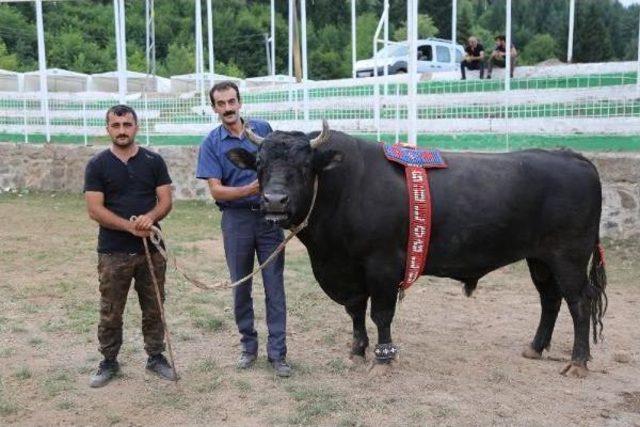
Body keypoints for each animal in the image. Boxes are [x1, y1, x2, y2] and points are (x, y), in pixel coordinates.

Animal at [228, 124, 608, 378]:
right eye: (259, 165)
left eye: (305, 167)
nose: (274, 201)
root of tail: (571, 156)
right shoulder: (347, 270)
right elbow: (355, 311)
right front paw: (357, 351)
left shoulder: (382, 265)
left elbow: (381, 314)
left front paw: (384, 358)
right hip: (540, 258)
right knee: (550, 299)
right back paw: (535, 348)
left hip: (569, 257)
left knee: (579, 302)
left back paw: (578, 362)